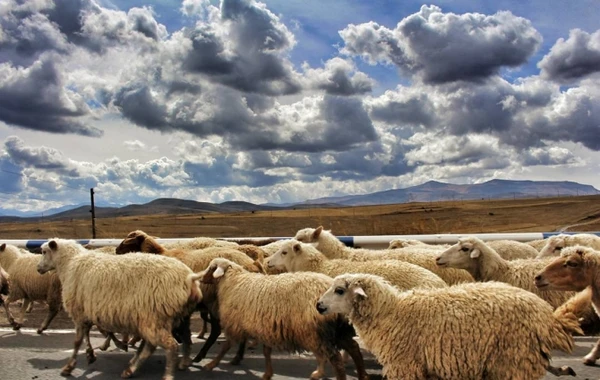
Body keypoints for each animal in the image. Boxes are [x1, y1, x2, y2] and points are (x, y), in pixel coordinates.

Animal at [37, 239, 203, 378]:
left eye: (44, 251)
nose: (38, 268)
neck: (70, 263)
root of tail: (189, 278)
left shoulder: (79, 312)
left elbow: (78, 341)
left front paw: (69, 367)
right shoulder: (89, 311)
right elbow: (90, 334)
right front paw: (91, 354)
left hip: (154, 318)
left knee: (169, 346)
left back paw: (166, 375)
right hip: (175, 317)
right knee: (180, 339)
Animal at [203, 258, 370, 380]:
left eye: (211, 268)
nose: (202, 279)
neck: (233, 282)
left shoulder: (235, 324)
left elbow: (226, 347)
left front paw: (211, 364)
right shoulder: (265, 327)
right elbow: (266, 352)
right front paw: (267, 374)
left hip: (318, 332)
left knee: (336, 359)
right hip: (335, 331)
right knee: (354, 348)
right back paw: (362, 375)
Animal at [318, 274, 580, 378]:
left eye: (339, 290)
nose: (318, 305)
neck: (391, 312)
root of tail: (546, 317)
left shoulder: (405, 364)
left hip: (513, 359)